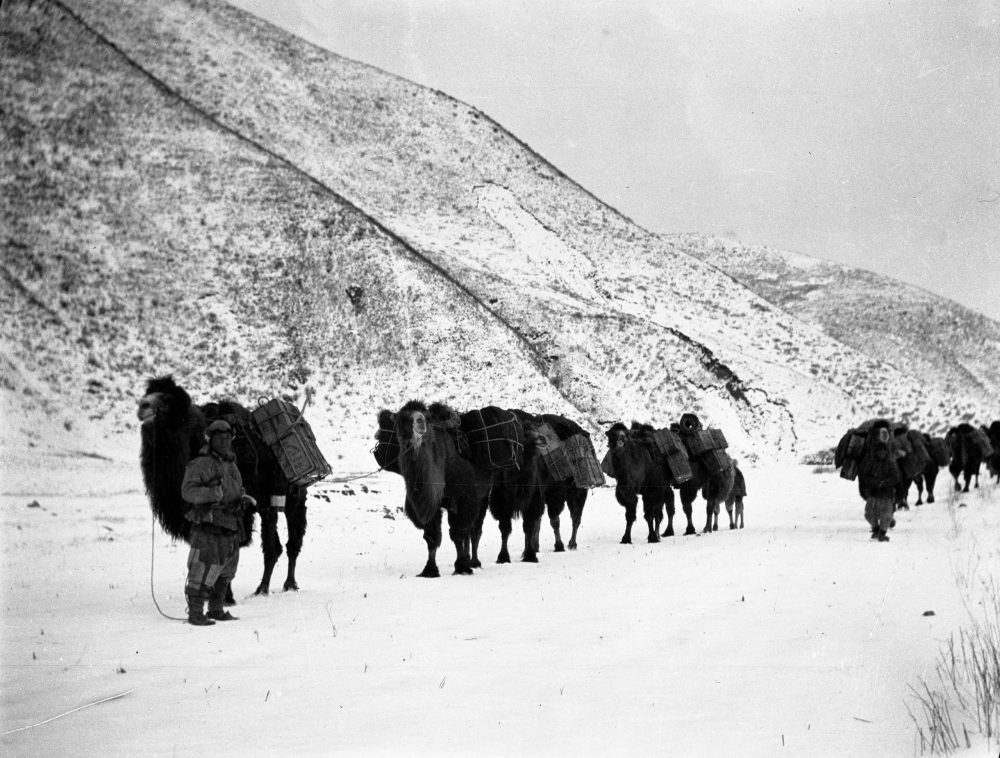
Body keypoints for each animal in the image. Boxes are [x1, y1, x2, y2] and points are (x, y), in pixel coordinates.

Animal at [138, 378, 308, 604]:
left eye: (167, 399)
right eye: (147, 393)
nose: (143, 406)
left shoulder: (236, 509)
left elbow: (229, 549)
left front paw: (226, 598)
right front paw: (212, 595)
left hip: (293, 498)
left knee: (290, 542)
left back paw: (282, 585)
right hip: (264, 504)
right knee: (276, 542)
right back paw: (264, 588)